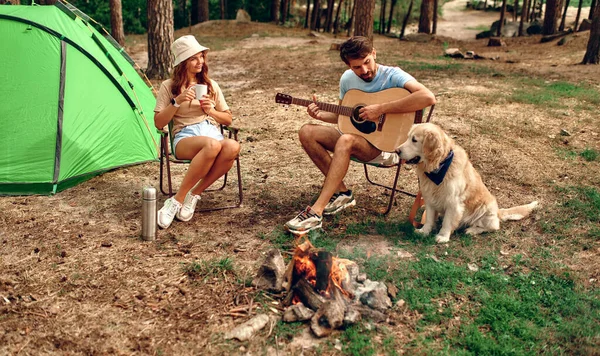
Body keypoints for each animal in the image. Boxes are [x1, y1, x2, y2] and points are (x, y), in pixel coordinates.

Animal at [394, 124, 540, 243]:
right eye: (408, 137)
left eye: (414, 140)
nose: (397, 150)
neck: (439, 165)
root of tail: (498, 211)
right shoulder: (430, 198)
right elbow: (429, 218)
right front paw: (424, 231)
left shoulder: (454, 202)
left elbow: (448, 221)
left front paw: (443, 236)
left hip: (485, 209)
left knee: (492, 227)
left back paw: (471, 230)